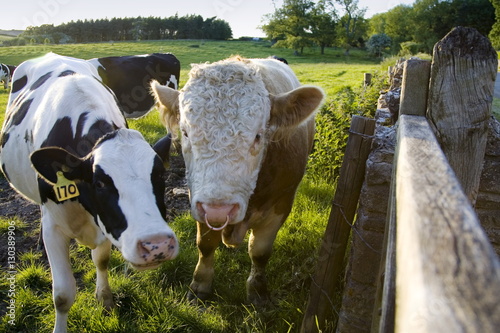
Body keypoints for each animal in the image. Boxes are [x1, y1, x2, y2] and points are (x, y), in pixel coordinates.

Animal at [0, 53, 179, 330]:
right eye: (100, 184)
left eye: (159, 175)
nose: (156, 245)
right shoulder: (55, 228)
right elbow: (62, 295)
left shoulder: (105, 223)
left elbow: (101, 261)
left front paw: (105, 299)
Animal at [152, 56, 324, 304]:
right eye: (185, 133)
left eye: (259, 135)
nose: (219, 209)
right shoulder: (199, 200)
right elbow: (205, 245)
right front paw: (200, 286)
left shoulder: (282, 204)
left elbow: (260, 251)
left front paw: (257, 291)